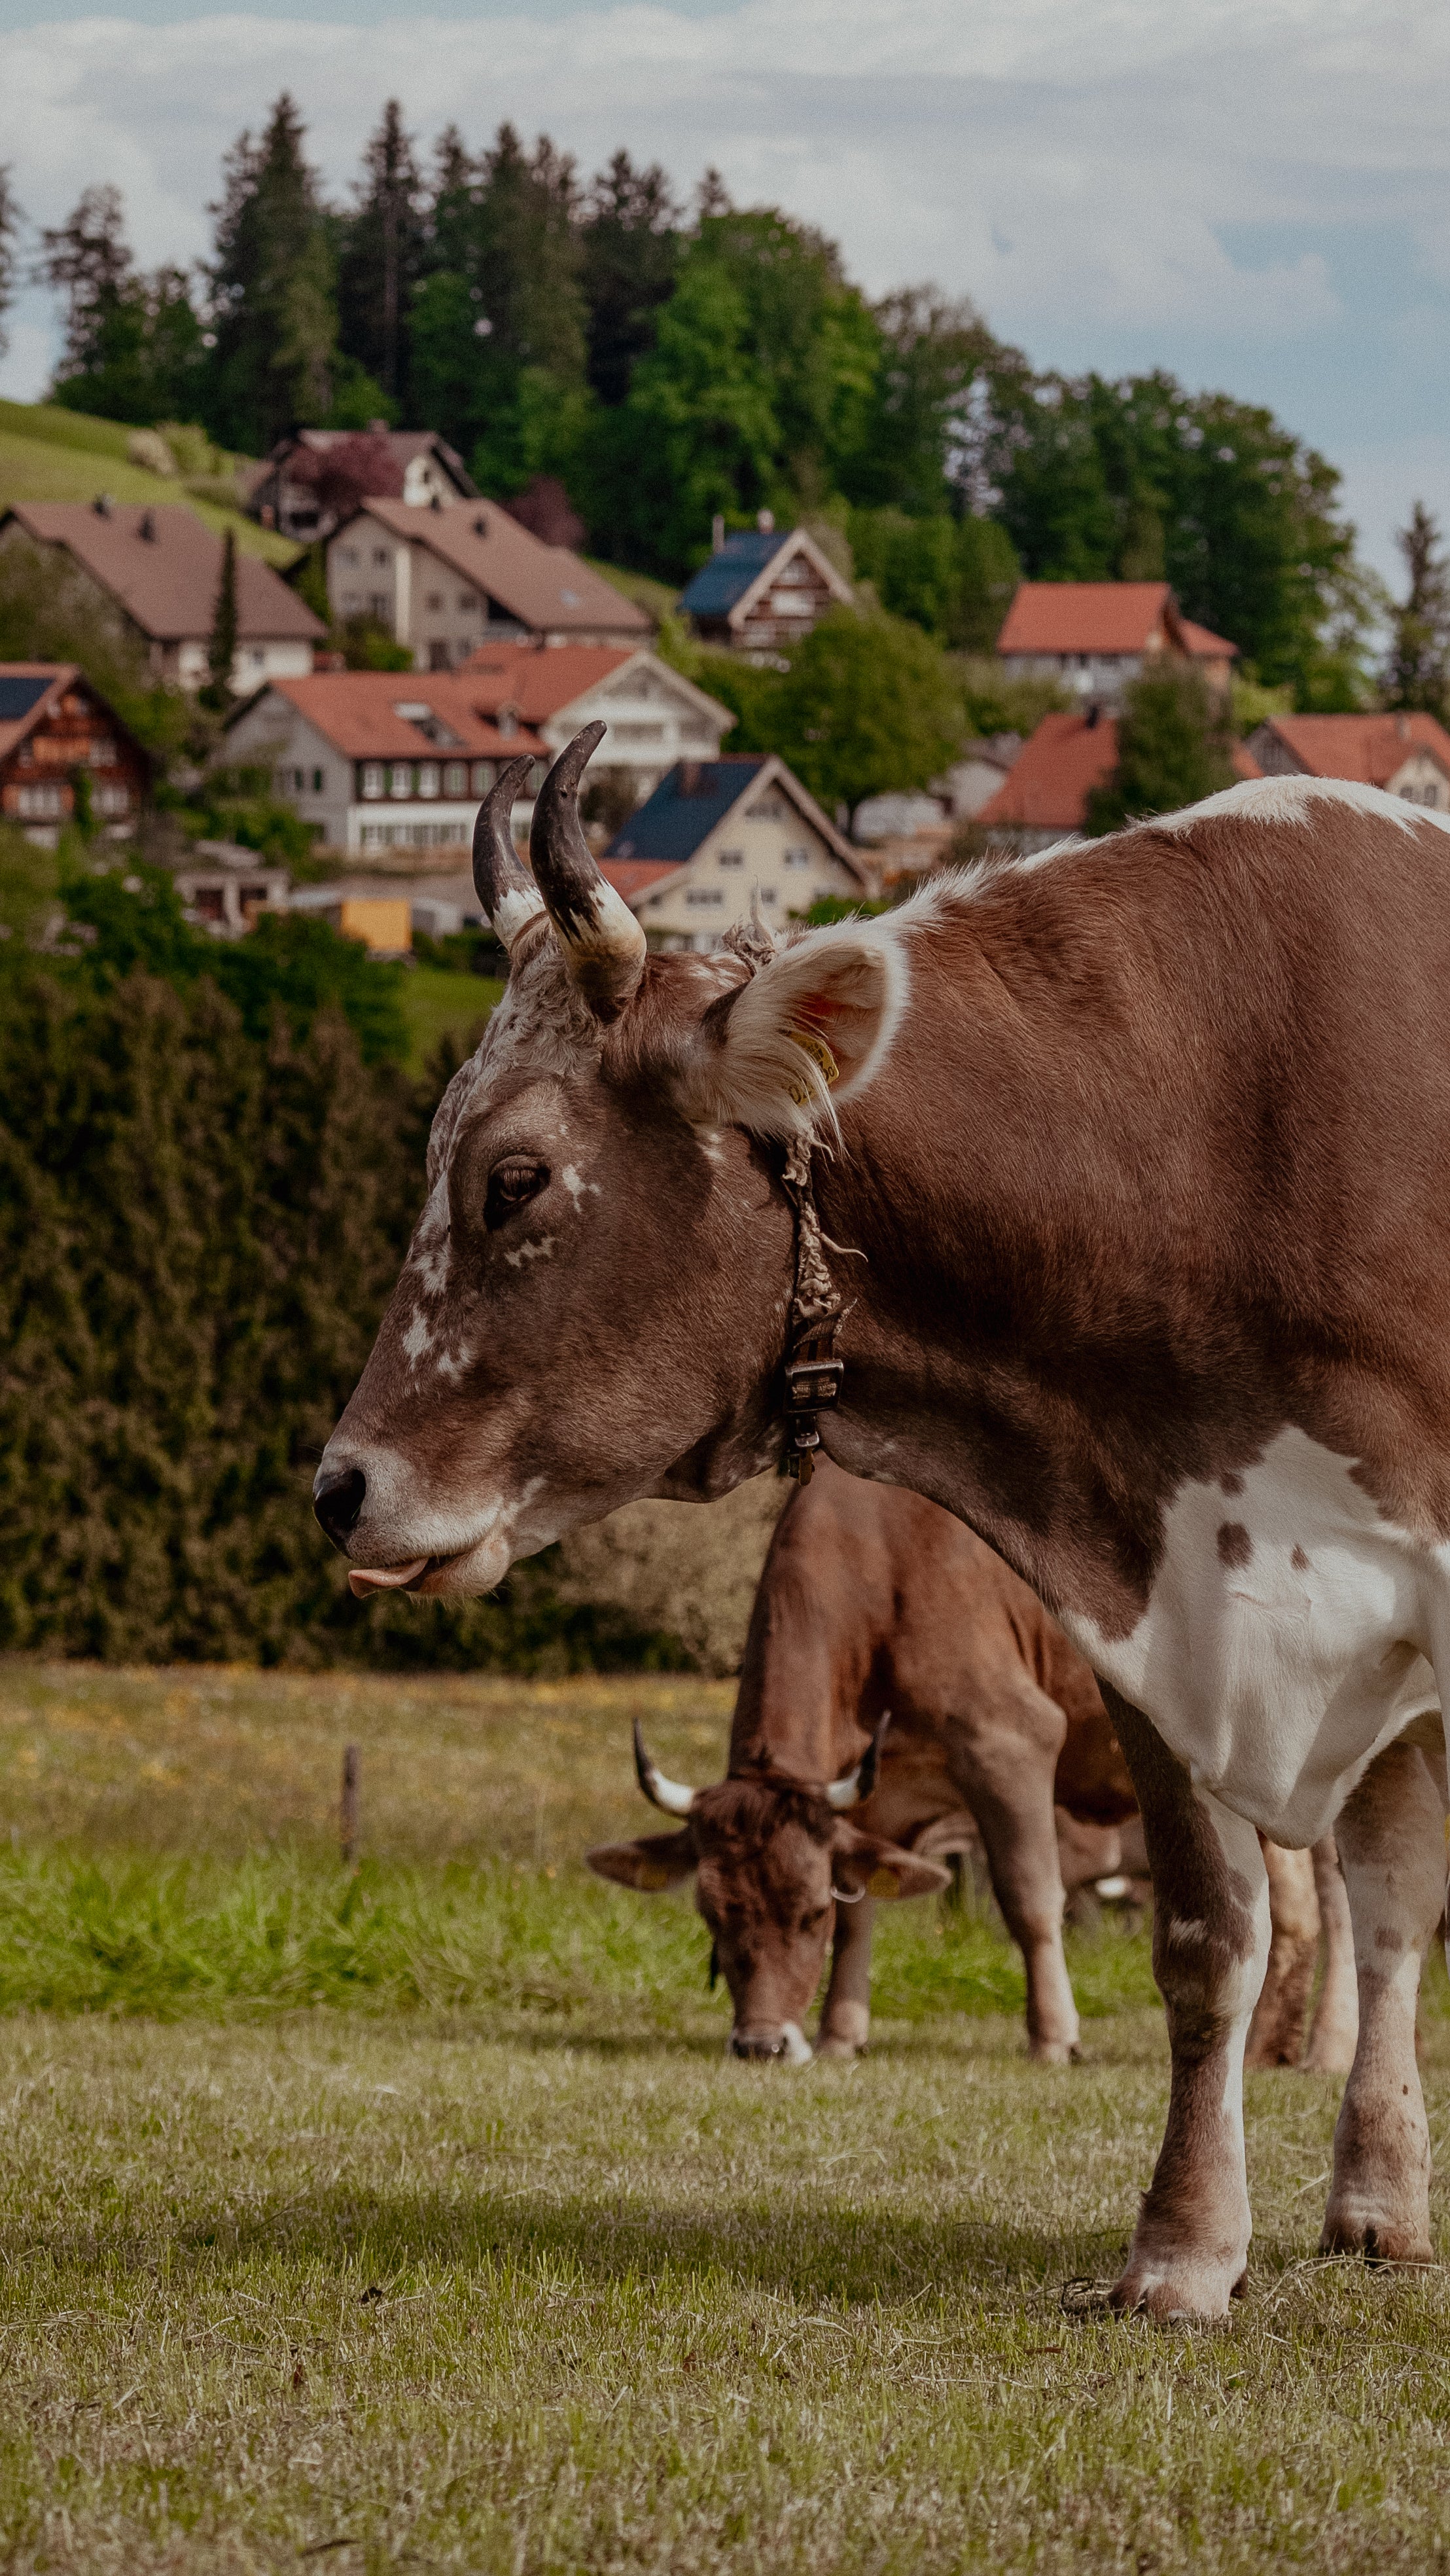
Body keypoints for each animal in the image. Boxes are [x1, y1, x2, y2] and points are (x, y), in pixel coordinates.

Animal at [587, 1457, 1355, 2073]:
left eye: (809, 1915)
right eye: (711, 1915)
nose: (760, 2044)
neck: (877, 1572)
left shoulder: (1007, 1742)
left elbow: (1030, 1897)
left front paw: (1054, 2037)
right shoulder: (878, 1796)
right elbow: (865, 1910)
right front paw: (841, 2034)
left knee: (1341, 1900)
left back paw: (1327, 2049)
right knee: (1291, 1904)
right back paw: (1264, 2047)